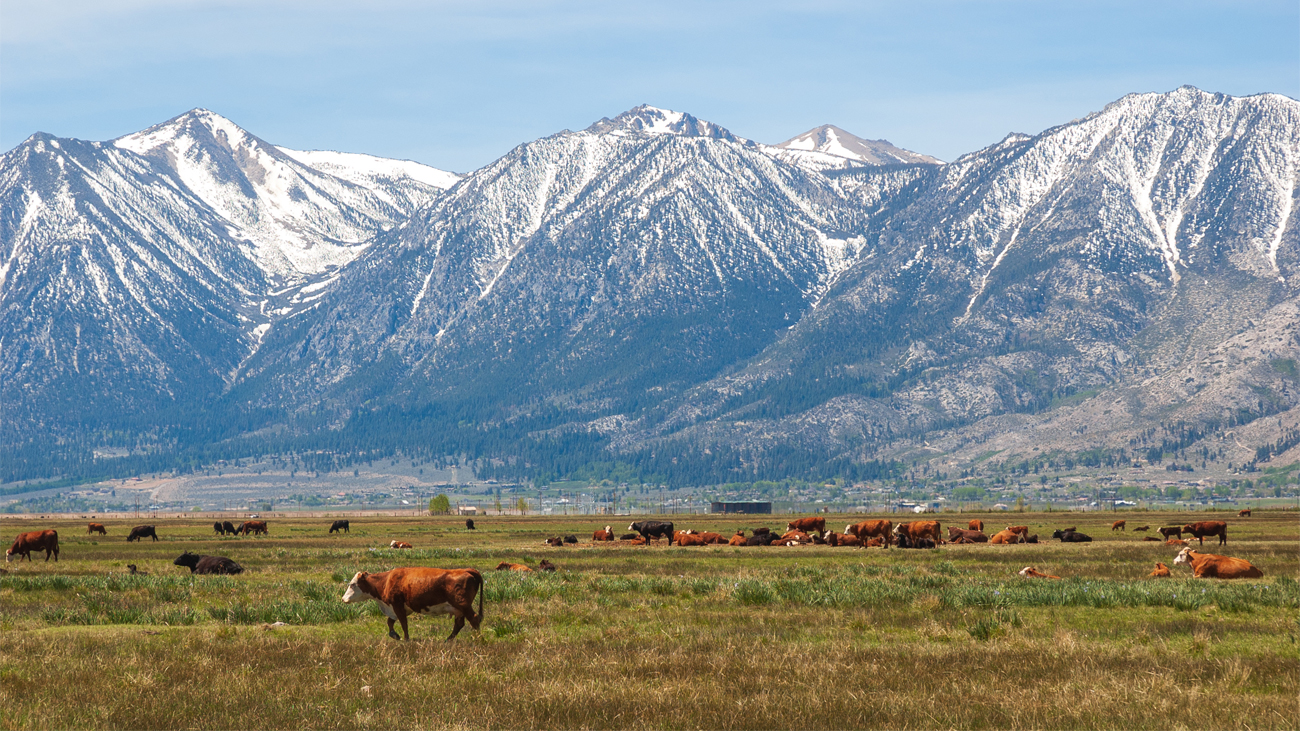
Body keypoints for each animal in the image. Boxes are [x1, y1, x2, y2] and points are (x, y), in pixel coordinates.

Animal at [341, 567, 484, 641]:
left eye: (352, 584)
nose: (343, 599)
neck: (386, 581)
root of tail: (466, 570)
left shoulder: (397, 605)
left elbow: (403, 623)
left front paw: (406, 639)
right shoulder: (398, 608)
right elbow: (390, 622)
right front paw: (394, 635)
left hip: (463, 605)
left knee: (474, 619)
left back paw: (478, 639)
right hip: (458, 609)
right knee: (459, 624)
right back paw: (448, 640)